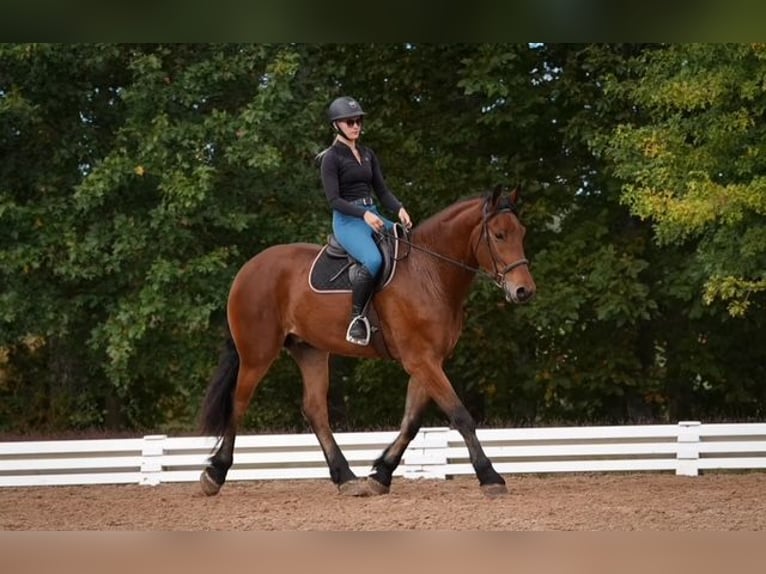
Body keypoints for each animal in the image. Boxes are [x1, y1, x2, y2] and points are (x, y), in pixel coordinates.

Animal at [199, 185, 536, 497]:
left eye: (521, 232)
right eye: (499, 235)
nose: (524, 291)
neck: (430, 273)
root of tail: (247, 268)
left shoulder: (428, 361)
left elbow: (411, 422)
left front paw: (381, 474)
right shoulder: (421, 360)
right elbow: (460, 416)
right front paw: (490, 476)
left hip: (310, 350)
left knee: (315, 409)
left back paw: (346, 477)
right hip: (257, 354)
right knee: (239, 402)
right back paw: (215, 473)